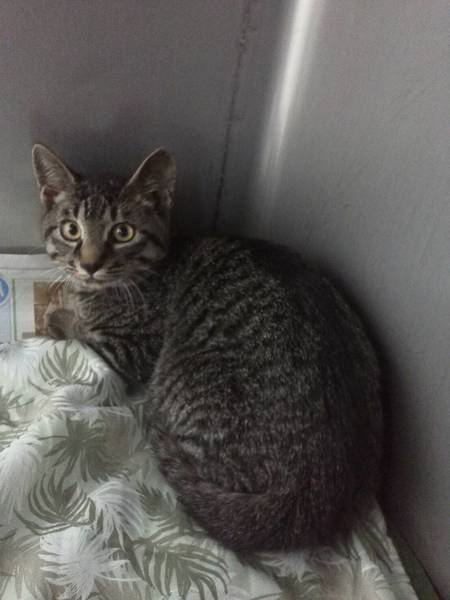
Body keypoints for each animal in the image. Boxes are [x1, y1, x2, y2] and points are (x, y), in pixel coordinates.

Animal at [32, 143, 383, 552]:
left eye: (123, 232)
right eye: (71, 229)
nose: (89, 265)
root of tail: (315, 490)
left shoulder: (131, 349)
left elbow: (77, 329)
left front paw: (58, 313)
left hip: (176, 382)